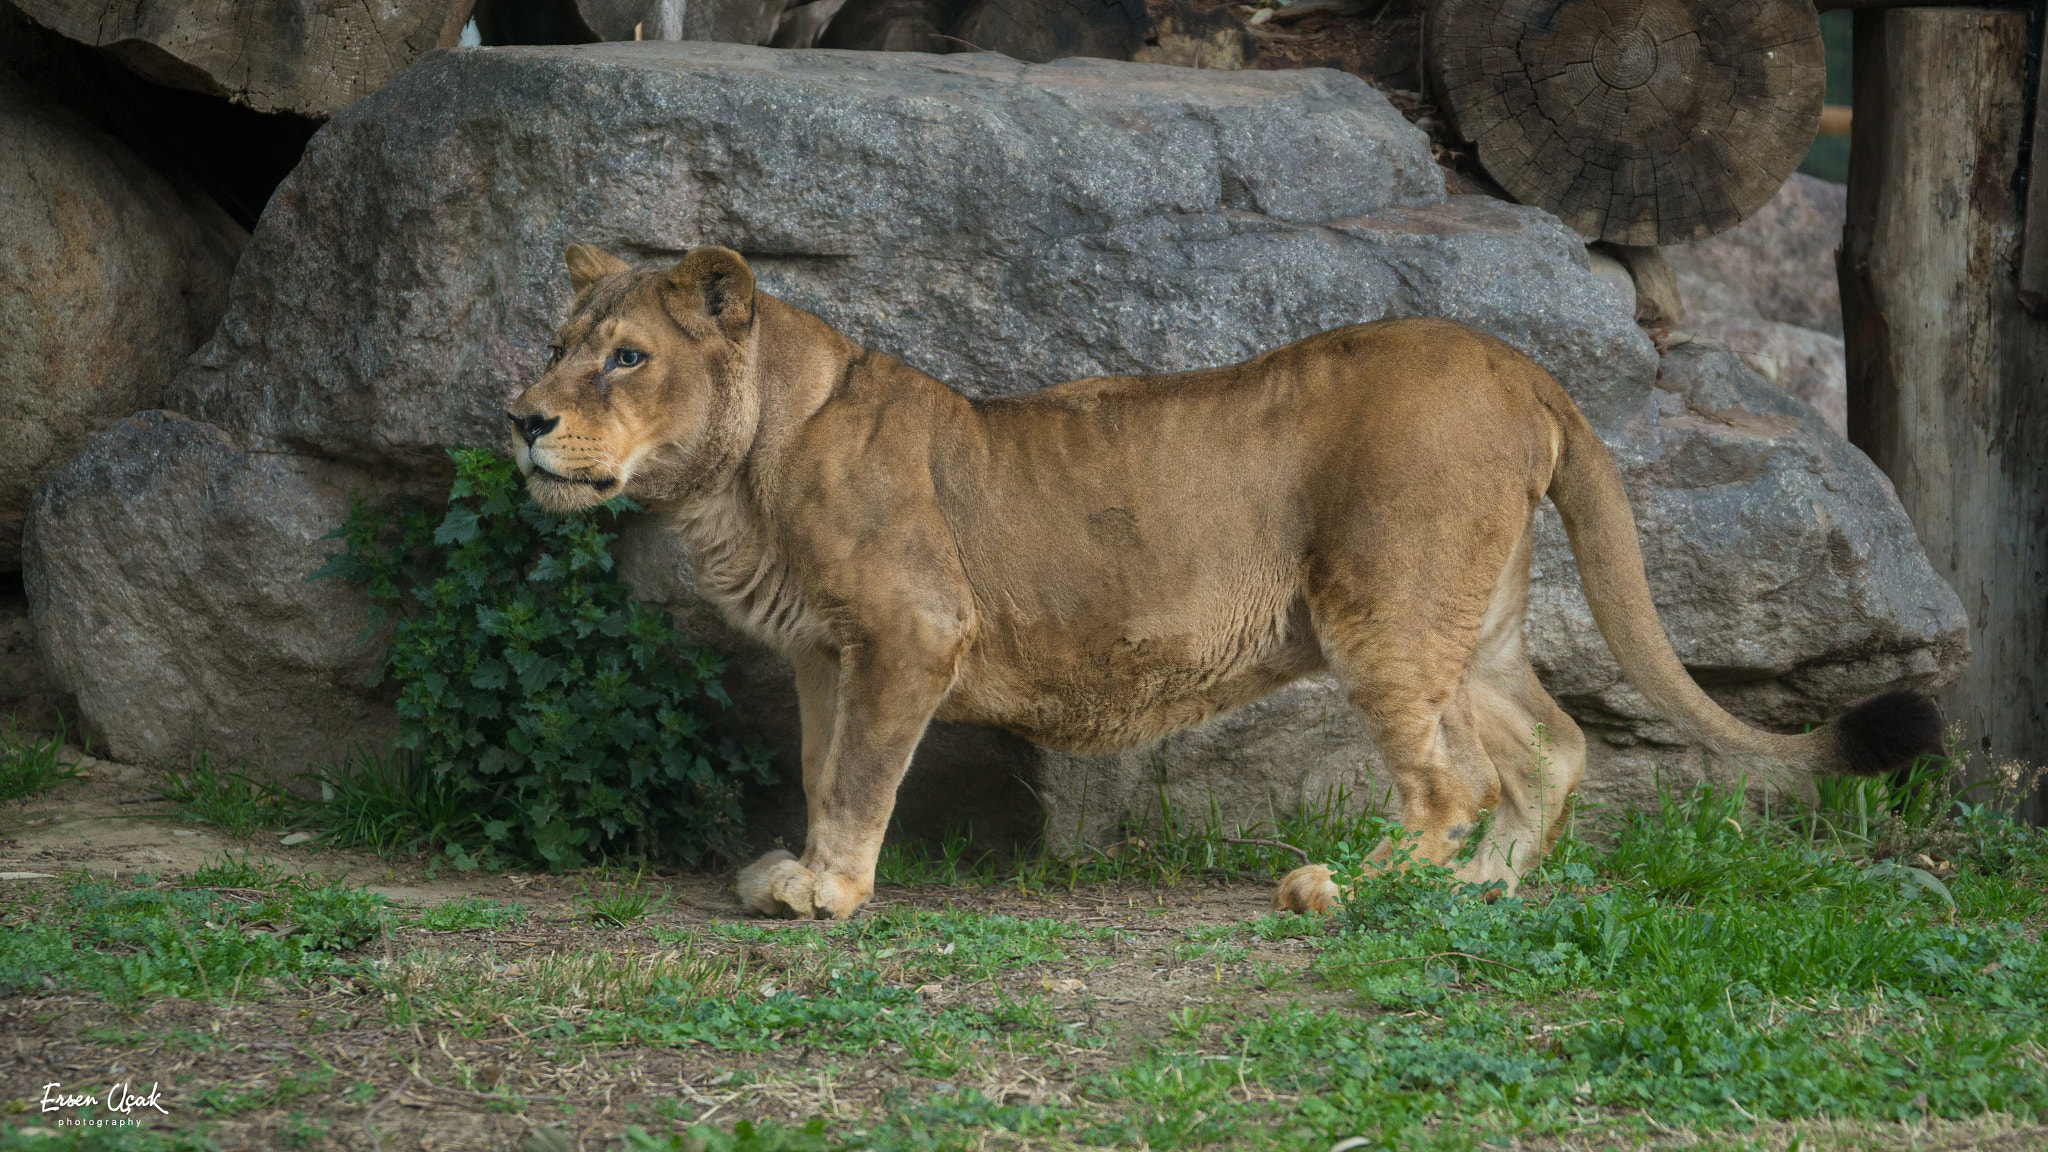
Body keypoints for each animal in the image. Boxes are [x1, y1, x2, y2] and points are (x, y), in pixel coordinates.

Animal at [506, 244, 1942, 920]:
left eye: (625, 356)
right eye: (558, 343)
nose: (520, 417)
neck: (745, 470)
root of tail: (1518, 363)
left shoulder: (913, 629)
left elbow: (861, 777)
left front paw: (830, 893)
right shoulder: (823, 650)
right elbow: (819, 768)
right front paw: (797, 867)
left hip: (1380, 604)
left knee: (1454, 780)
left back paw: (1352, 890)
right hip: (1469, 620)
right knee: (1551, 748)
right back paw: (1476, 893)